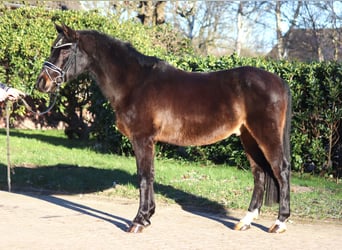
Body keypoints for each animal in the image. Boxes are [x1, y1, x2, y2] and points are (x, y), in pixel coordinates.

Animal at [35, 24, 292, 233]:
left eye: (64, 50)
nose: (41, 83)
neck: (135, 83)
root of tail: (279, 81)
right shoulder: (148, 141)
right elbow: (149, 176)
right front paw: (147, 216)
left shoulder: (142, 139)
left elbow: (144, 177)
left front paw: (139, 221)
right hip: (248, 137)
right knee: (260, 173)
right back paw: (245, 221)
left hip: (265, 135)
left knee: (280, 170)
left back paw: (279, 223)